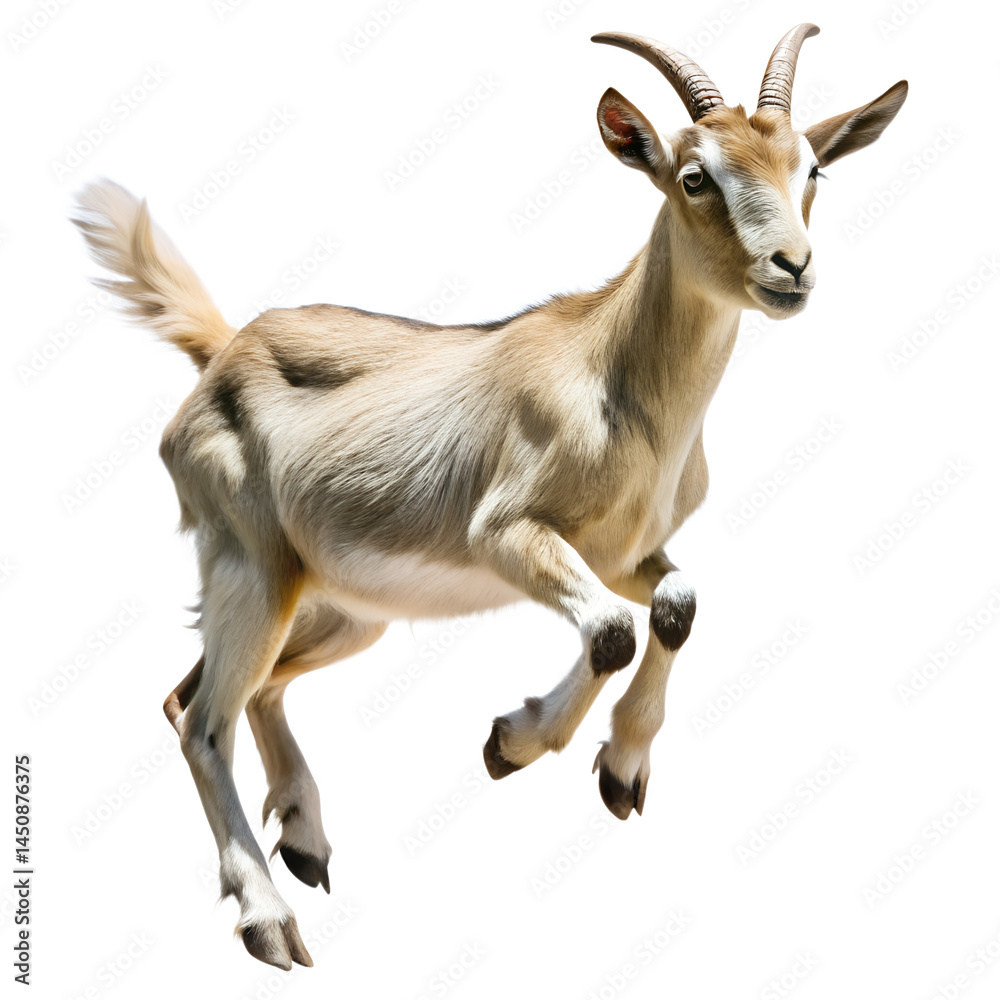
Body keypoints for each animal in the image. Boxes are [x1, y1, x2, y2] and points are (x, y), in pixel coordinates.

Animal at [73, 23, 906, 970]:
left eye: (813, 169)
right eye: (696, 175)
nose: (791, 267)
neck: (609, 373)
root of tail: (223, 349)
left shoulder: (621, 553)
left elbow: (675, 607)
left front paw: (620, 770)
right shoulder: (506, 534)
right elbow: (612, 631)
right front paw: (512, 742)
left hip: (338, 609)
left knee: (231, 691)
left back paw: (307, 845)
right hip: (252, 568)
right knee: (199, 716)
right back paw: (269, 922)